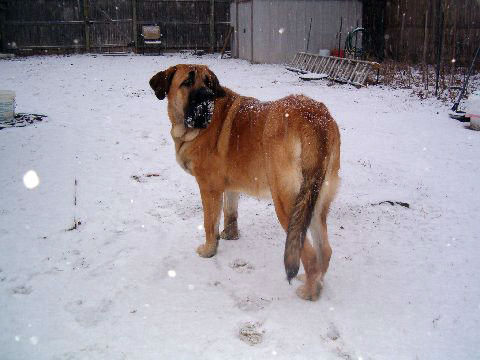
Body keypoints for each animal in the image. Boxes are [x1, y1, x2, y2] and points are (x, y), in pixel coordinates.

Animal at [150, 64, 342, 300]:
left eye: (208, 83)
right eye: (187, 82)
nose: (207, 97)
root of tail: (314, 119)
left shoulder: (209, 188)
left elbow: (209, 223)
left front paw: (209, 250)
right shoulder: (230, 188)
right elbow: (230, 213)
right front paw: (230, 235)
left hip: (287, 203)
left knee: (308, 252)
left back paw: (309, 292)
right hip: (315, 199)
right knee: (325, 249)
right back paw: (316, 283)